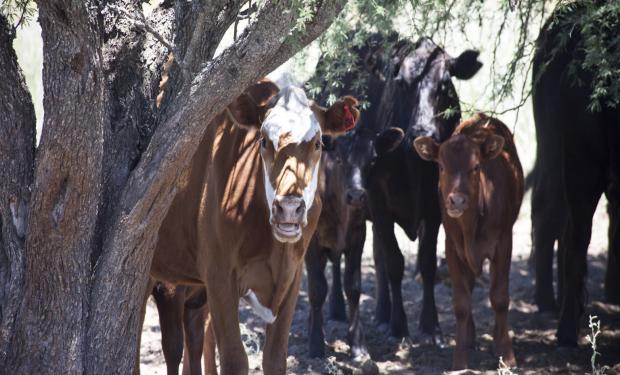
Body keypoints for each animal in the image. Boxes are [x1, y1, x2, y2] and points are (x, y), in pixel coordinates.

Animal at [149, 80, 358, 375]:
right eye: (263, 141)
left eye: (318, 143)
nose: (289, 208)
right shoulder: (219, 277)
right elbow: (235, 359)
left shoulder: (293, 277)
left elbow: (275, 357)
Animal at [412, 113, 524, 372]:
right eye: (441, 167)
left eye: (475, 167)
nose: (457, 201)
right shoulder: (452, 247)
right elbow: (461, 303)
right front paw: (460, 359)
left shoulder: (504, 242)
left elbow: (500, 298)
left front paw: (506, 354)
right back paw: (471, 338)